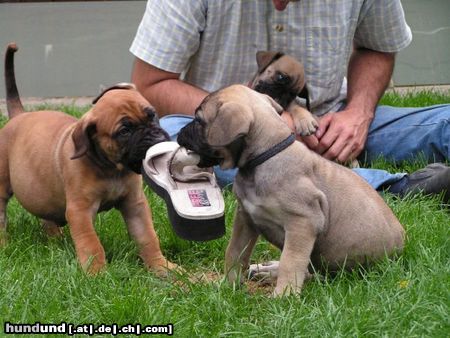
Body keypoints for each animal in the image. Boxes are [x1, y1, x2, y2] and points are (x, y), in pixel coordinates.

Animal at [0, 43, 178, 274]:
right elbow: (91, 243)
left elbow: (147, 236)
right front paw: (97, 273)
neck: (111, 168)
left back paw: (54, 240)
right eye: (125, 131)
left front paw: (162, 266)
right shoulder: (80, 211)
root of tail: (19, 114)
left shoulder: (135, 205)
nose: (154, 137)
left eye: (152, 115)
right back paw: (4, 245)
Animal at [178, 84, 406, 296]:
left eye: (198, 120)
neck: (265, 156)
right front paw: (228, 285)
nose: (180, 133)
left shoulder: (303, 223)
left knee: (309, 271)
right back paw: (267, 270)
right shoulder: (245, 219)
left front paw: (283, 296)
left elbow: (292, 260)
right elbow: (234, 252)